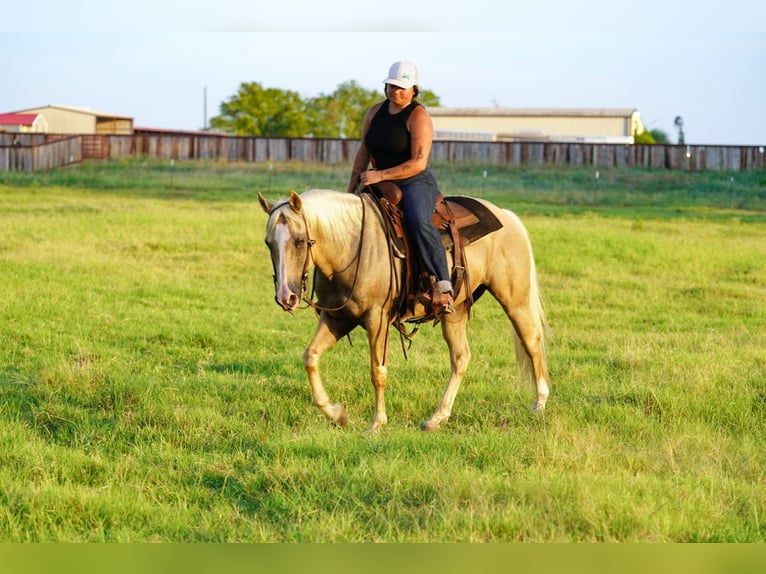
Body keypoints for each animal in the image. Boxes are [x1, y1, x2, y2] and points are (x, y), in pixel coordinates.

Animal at [258, 188, 550, 433]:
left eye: (299, 241)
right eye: (268, 243)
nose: (286, 297)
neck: (351, 247)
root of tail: (507, 215)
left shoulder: (377, 319)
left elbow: (377, 371)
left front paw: (376, 424)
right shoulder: (337, 318)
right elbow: (311, 356)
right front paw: (336, 414)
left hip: (515, 299)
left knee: (531, 342)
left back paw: (539, 403)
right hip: (454, 311)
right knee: (461, 357)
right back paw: (437, 418)